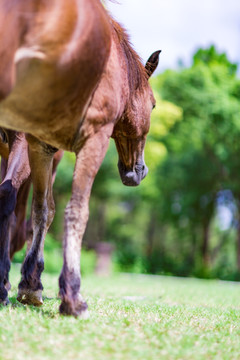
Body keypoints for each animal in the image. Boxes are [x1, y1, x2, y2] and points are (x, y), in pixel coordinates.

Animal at [0, 0, 159, 316]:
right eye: (153, 106)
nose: (138, 171)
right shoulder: (92, 140)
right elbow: (75, 210)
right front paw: (71, 296)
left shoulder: (41, 145)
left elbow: (42, 210)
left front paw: (30, 285)